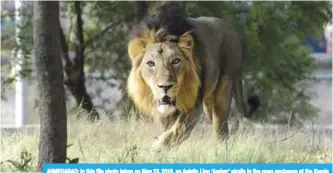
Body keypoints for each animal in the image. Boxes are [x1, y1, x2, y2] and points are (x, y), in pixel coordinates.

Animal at [126, 2, 258, 151]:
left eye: (176, 61)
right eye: (150, 63)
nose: (165, 87)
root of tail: (234, 32)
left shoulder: (193, 105)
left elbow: (178, 130)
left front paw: (157, 147)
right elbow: (169, 129)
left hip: (223, 90)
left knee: (220, 127)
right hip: (208, 104)